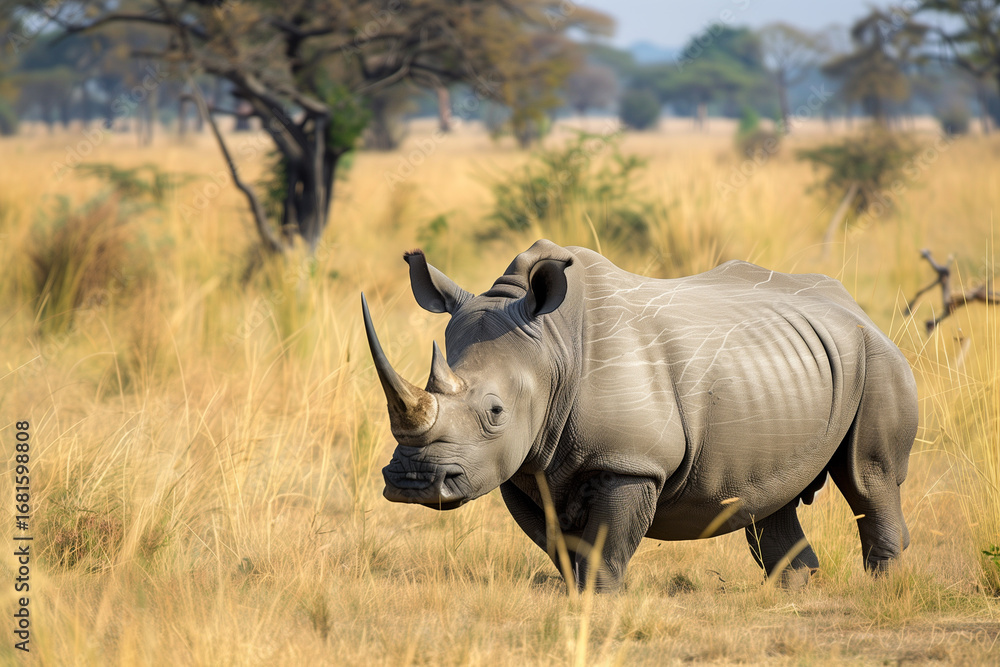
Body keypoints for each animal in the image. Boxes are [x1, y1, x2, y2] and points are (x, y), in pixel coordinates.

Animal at [363, 240, 917, 591]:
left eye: (495, 412)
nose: (412, 482)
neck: (553, 347)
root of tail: (855, 305)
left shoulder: (629, 462)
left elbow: (605, 547)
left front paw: (600, 602)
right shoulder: (523, 467)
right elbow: (559, 546)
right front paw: (576, 598)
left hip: (877, 356)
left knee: (868, 477)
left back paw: (884, 590)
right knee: (769, 493)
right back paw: (792, 591)